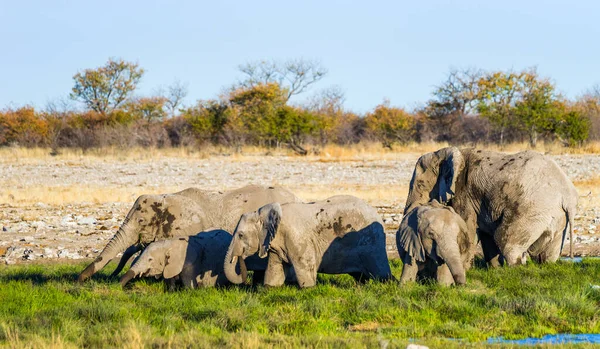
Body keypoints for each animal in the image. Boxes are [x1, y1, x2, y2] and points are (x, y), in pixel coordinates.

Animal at [223, 194, 392, 286]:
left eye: (240, 235)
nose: (238, 258)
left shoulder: (297, 237)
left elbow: (305, 267)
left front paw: (308, 288)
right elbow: (274, 271)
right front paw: (270, 288)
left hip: (372, 244)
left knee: (381, 273)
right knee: (361, 276)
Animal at [404, 145, 576, 266]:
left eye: (420, 185)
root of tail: (567, 195)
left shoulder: (464, 191)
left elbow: (467, 227)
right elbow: (486, 234)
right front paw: (495, 269)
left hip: (531, 208)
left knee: (505, 240)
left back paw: (516, 267)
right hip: (557, 217)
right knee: (547, 252)